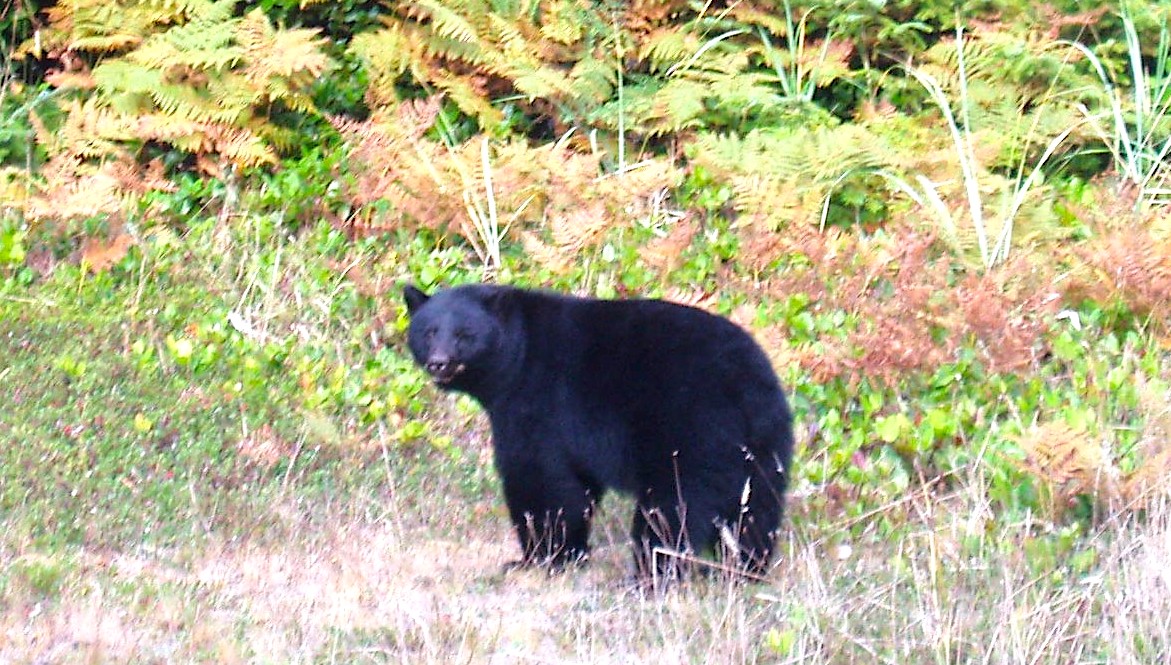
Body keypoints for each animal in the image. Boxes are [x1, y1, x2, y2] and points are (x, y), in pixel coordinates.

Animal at [405, 283, 796, 578]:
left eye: (464, 334)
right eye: (428, 332)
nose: (438, 362)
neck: (516, 356)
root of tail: (745, 385)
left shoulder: (538, 402)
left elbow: (540, 481)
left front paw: (539, 557)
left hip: (692, 432)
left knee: (673, 507)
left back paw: (651, 574)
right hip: (765, 442)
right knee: (757, 508)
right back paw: (744, 569)